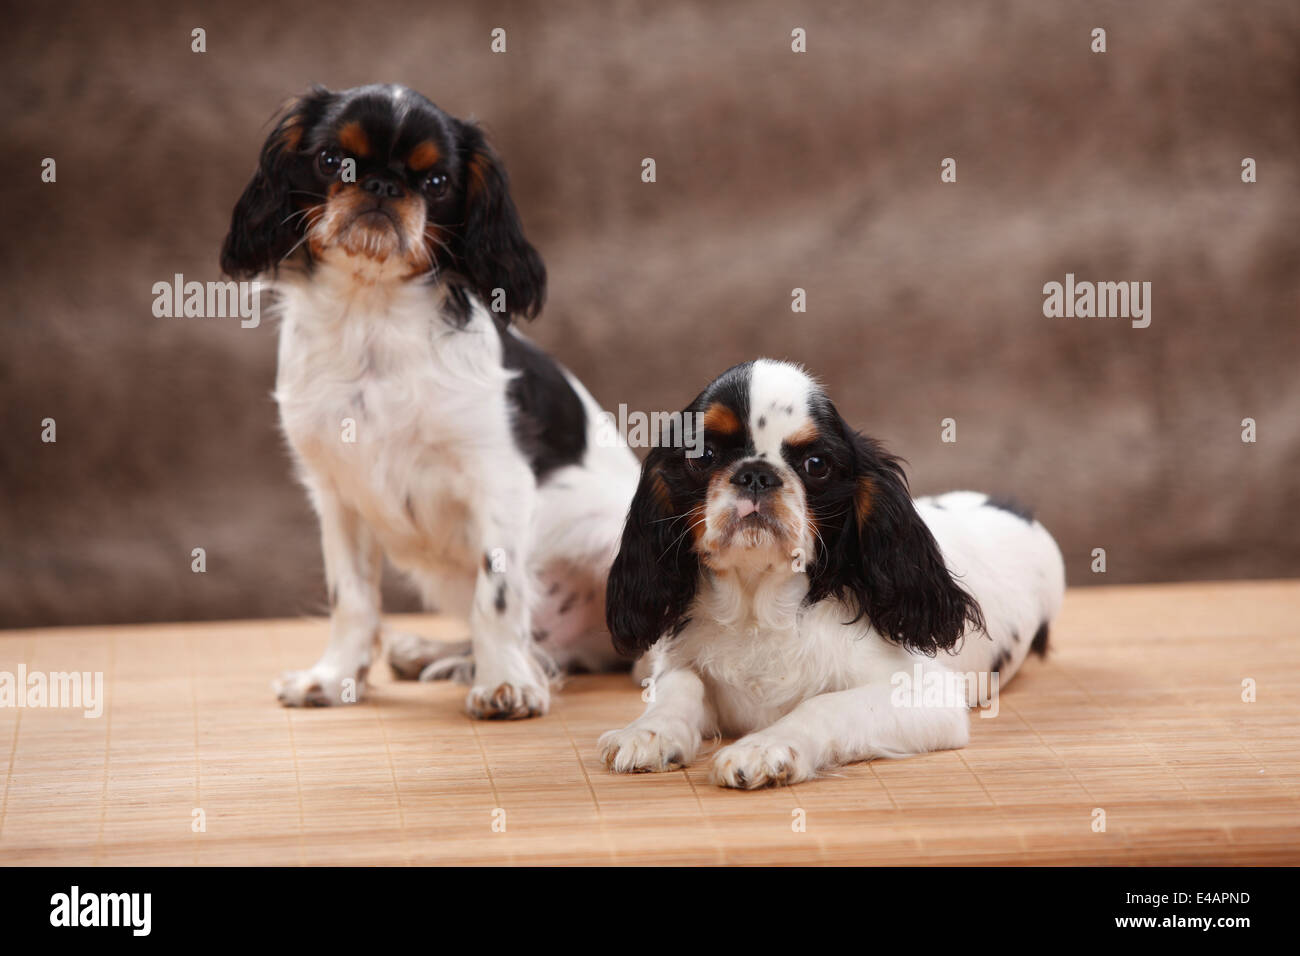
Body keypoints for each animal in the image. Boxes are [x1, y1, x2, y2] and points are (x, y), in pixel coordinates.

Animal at [223, 83, 639, 717]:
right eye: (331, 161)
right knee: (555, 649)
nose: (382, 186)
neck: (371, 316)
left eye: (438, 181)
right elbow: (351, 597)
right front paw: (334, 679)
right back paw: (435, 655)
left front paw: (505, 685)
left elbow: (497, 597)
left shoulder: (498, 481)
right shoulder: (336, 496)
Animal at [598, 358, 1066, 785]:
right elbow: (679, 686)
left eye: (816, 464)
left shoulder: (928, 695)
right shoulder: (685, 661)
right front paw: (648, 731)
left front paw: (765, 746)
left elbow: (824, 704)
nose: (756, 474)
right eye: (704, 455)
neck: (759, 606)